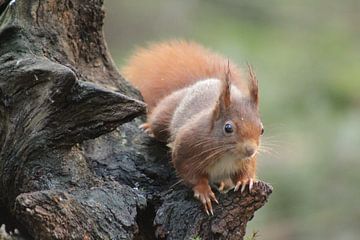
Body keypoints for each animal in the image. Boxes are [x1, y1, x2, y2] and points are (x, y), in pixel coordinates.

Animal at [122, 40, 262, 215]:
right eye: (228, 128)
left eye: (261, 129)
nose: (250, 150)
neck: (227, 154)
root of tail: (201, 82)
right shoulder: (187, 146)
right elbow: (189, 173)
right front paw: (204, 191)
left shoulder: (244, 161)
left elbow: (246, 169)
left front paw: (245, 180)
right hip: (167, 113)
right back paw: (148, 127)